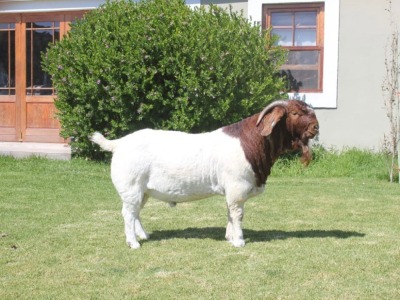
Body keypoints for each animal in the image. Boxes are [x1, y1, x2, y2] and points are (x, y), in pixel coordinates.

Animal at [90, 99, 318, 248]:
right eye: (296, 113)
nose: (316, 127)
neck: (252, 142)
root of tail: (118, 143)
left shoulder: (230, 191)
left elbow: (229, 213)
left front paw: (229, 237)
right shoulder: (237, 188)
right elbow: (238, 214)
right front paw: (239, 241)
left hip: (142, 191)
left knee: (135, 212)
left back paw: (143, 236)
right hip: (131, 186)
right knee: (128, 213)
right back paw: (133, 243)